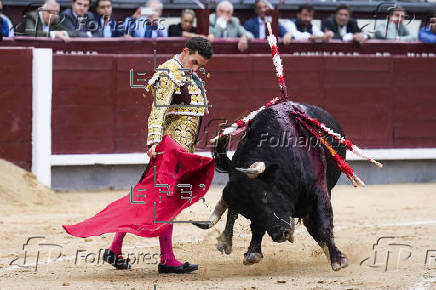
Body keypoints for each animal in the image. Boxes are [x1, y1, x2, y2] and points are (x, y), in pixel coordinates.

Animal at [193, 101, 348, 270]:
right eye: (247, 212)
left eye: (265, 196)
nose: (280, 235)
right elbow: (254, 225)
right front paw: (253, 253)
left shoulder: (318, 190)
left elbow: (323, 224)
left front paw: (338, 260)